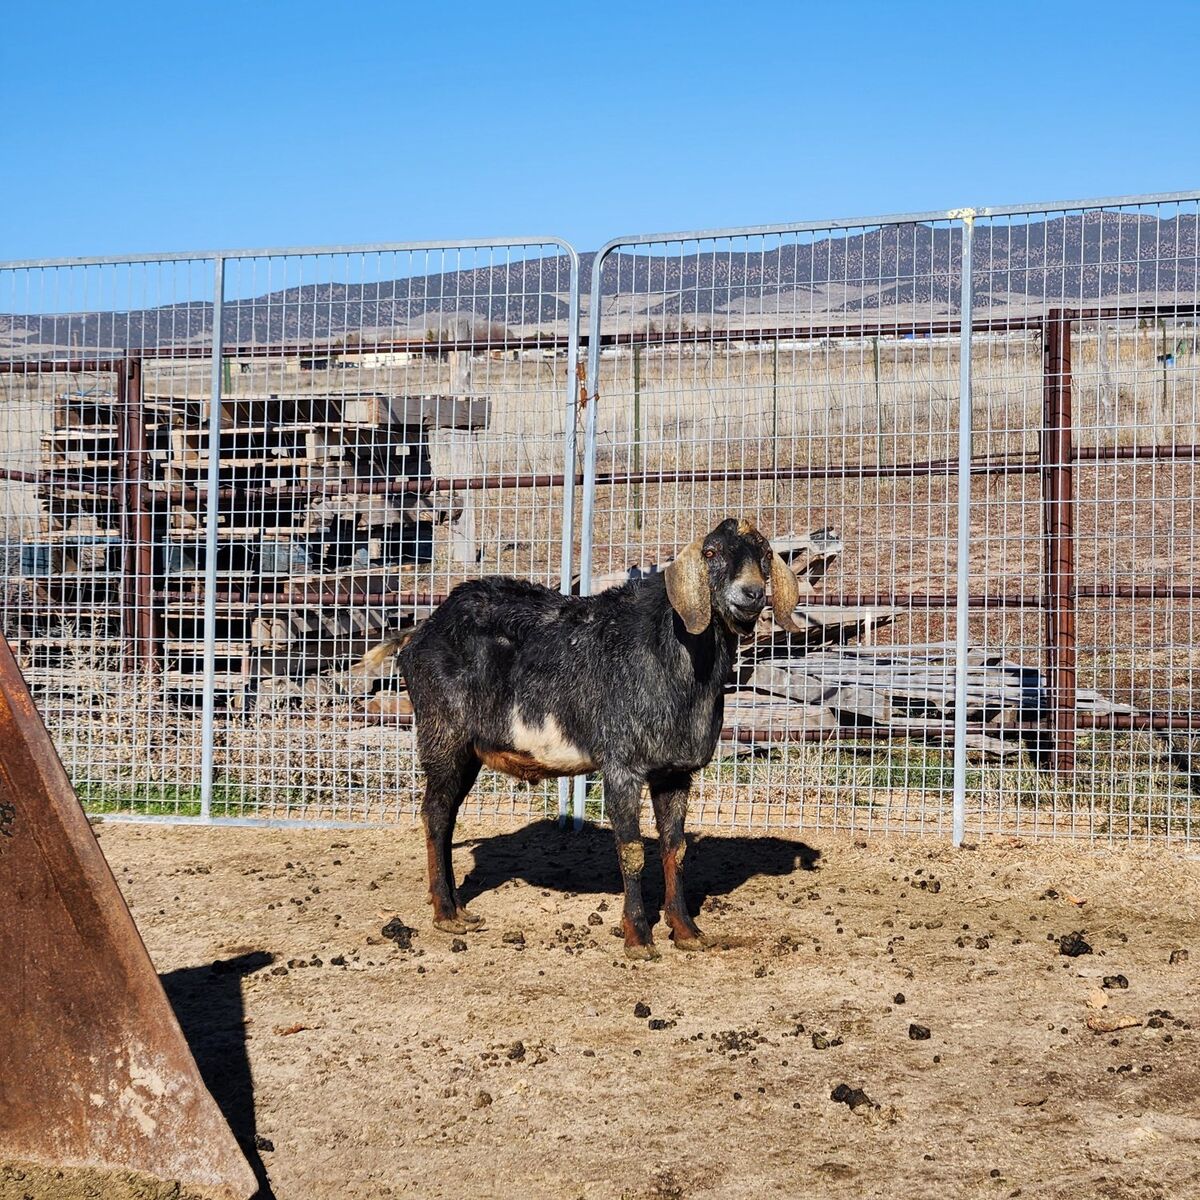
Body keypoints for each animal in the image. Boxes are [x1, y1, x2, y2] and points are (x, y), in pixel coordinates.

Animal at [356, 518, 801, 959]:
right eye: (711, 553)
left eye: (764, 555)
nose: (751, 593)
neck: (675, 656)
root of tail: (420, 633)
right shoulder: (622, 765)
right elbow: (632, 851)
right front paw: (639, 938)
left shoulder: (675, 773)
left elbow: (675, 849)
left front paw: (687, 932)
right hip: (443, 735)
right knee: (434, 814)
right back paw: (446, 915)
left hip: (468, 752)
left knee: (447, 816)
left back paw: (457, 909)